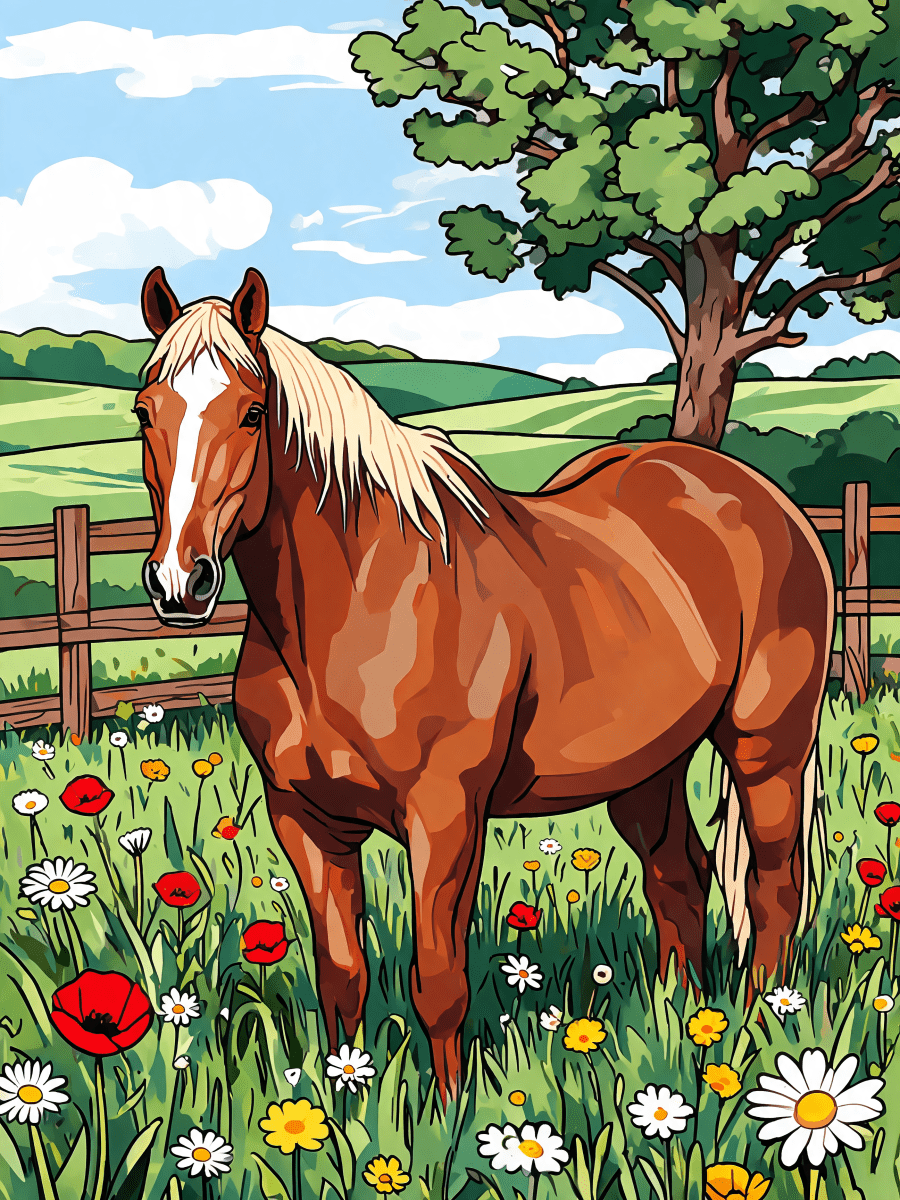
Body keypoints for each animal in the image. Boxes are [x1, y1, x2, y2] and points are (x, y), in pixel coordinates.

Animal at [135, 265, 833, 1102]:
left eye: (250, 411)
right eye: (145, 411)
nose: (180, 581)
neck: (357, 604)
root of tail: (766, 501)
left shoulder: (444, 818)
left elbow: (438, 982)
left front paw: (450, 1114)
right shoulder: (305, 819)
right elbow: (342, 976)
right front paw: (343, 1104)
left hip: (767, 746)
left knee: (771, 884)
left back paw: (767, 1025)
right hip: (647, 771)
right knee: (680, 881)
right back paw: (687, 1026)